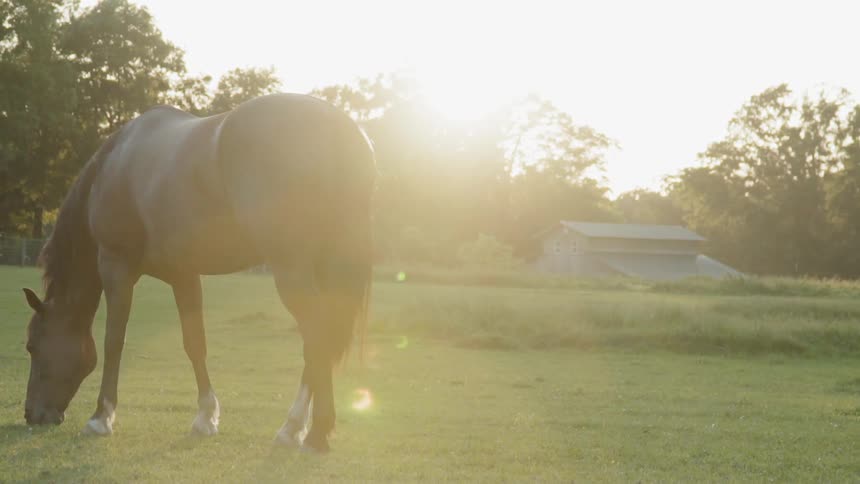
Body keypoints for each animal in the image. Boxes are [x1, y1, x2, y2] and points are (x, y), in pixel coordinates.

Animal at [20, 93, 375, 453]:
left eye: (32, 346)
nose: (32, 415)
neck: (116, 165)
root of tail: (340, 129)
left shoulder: (116, 267)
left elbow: (113, 341)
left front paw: (101, 417)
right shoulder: (184, 275)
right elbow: (195, 343)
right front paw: (205, 417)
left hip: (292, 271)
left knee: (317, 336)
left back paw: (312, 431)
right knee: (319, 341)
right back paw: (297, 428)